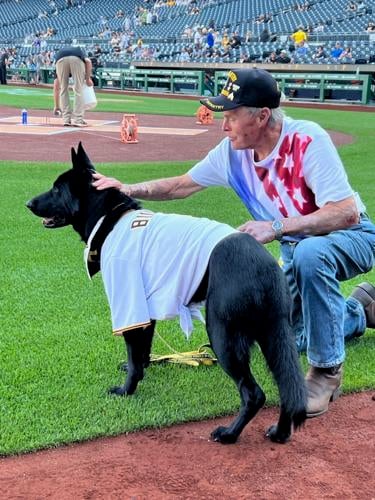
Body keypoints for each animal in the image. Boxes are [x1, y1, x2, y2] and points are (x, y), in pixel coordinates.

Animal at [26, 143, 306, 444]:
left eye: (57, 189)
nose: (28, 203)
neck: (108, 217)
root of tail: (264, 264)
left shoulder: (129, 304)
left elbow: (134, 357)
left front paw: (126, 390)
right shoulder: (144, 311)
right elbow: (142, 352)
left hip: (223, 335)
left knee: (254, 394)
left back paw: (230, 434)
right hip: (275, 335)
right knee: (289, 386)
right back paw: (280, 432)